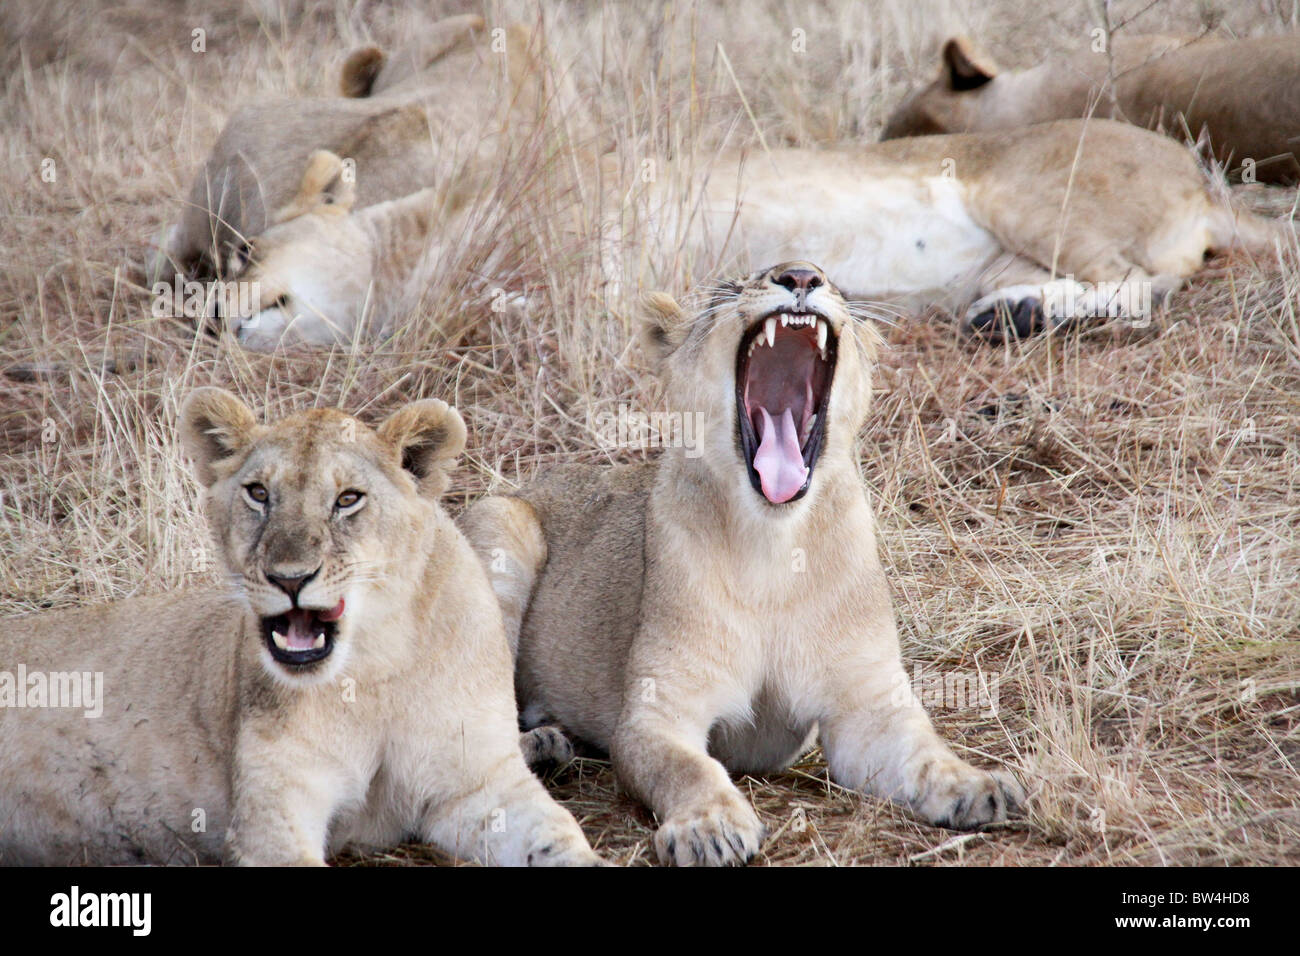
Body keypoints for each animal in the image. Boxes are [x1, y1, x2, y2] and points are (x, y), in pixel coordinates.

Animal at [0, 389, 599, 866]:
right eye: (259, 493)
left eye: (348, 499)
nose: (289, 578)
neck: (374, 667)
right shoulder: (273, 806)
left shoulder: (478, 786)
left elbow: (556, 833)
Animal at [458, 261, 1026, 866]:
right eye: (729, 288)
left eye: (835, 283)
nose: (800, 275)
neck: (773, 546)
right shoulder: (657, 712)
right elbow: (689, 768)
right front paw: (711, 827)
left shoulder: (867, 707)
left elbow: (924, 752)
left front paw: (981, 786)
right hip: (502, 523)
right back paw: (540, 746)